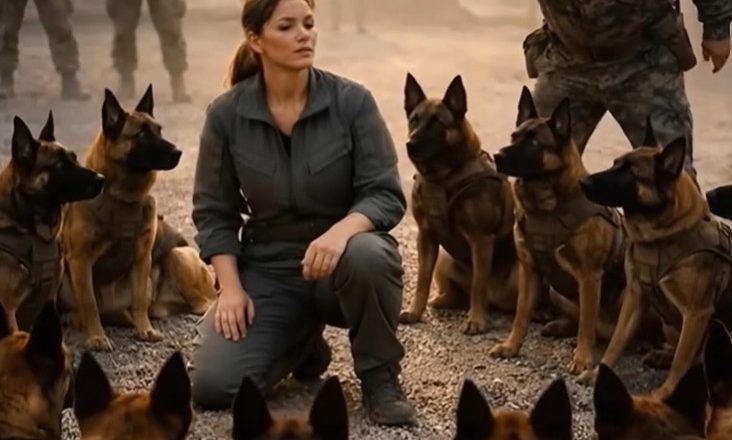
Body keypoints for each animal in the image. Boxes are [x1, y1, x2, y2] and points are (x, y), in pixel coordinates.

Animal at [59, 85, 183, 351]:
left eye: (159, 130)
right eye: (142, 135)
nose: (178, 152)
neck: (121, 198)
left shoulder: (142, 259)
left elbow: (139, 301)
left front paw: (145, 329)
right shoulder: (80, 261)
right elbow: (89, 304)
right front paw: (96, 336)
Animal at [398, 73, 518, 335]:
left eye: (437, 123)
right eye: (414, 120)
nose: (409, 144)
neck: (443, 177)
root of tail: (496, 301)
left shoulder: (481, 240)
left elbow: (478, 284)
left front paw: (476, 320)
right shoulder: (426, 237)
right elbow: (422, 281)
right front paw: (415, 312)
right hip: (444, 259)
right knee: (456, 294)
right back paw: (443, 300)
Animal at [489, 88, 627, 375]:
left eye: (534, 143)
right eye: (513, 137)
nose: (497, 156)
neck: (546, 208)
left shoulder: (589, 278)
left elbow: (586, 325)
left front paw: (583, 359)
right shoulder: (529, 271)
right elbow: (520, 315)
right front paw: (511, 346)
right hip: (556, 290)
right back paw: (559, 326)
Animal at [579, 122, 732, 398]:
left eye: (629, 173)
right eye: (615, 164)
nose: (582, 181)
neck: (662, 236)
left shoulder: (697, 314)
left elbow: (681, 363)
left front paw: (662, 396)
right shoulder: (634, 297)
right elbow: (616, 341)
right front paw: (597, 373)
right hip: (668, 327)